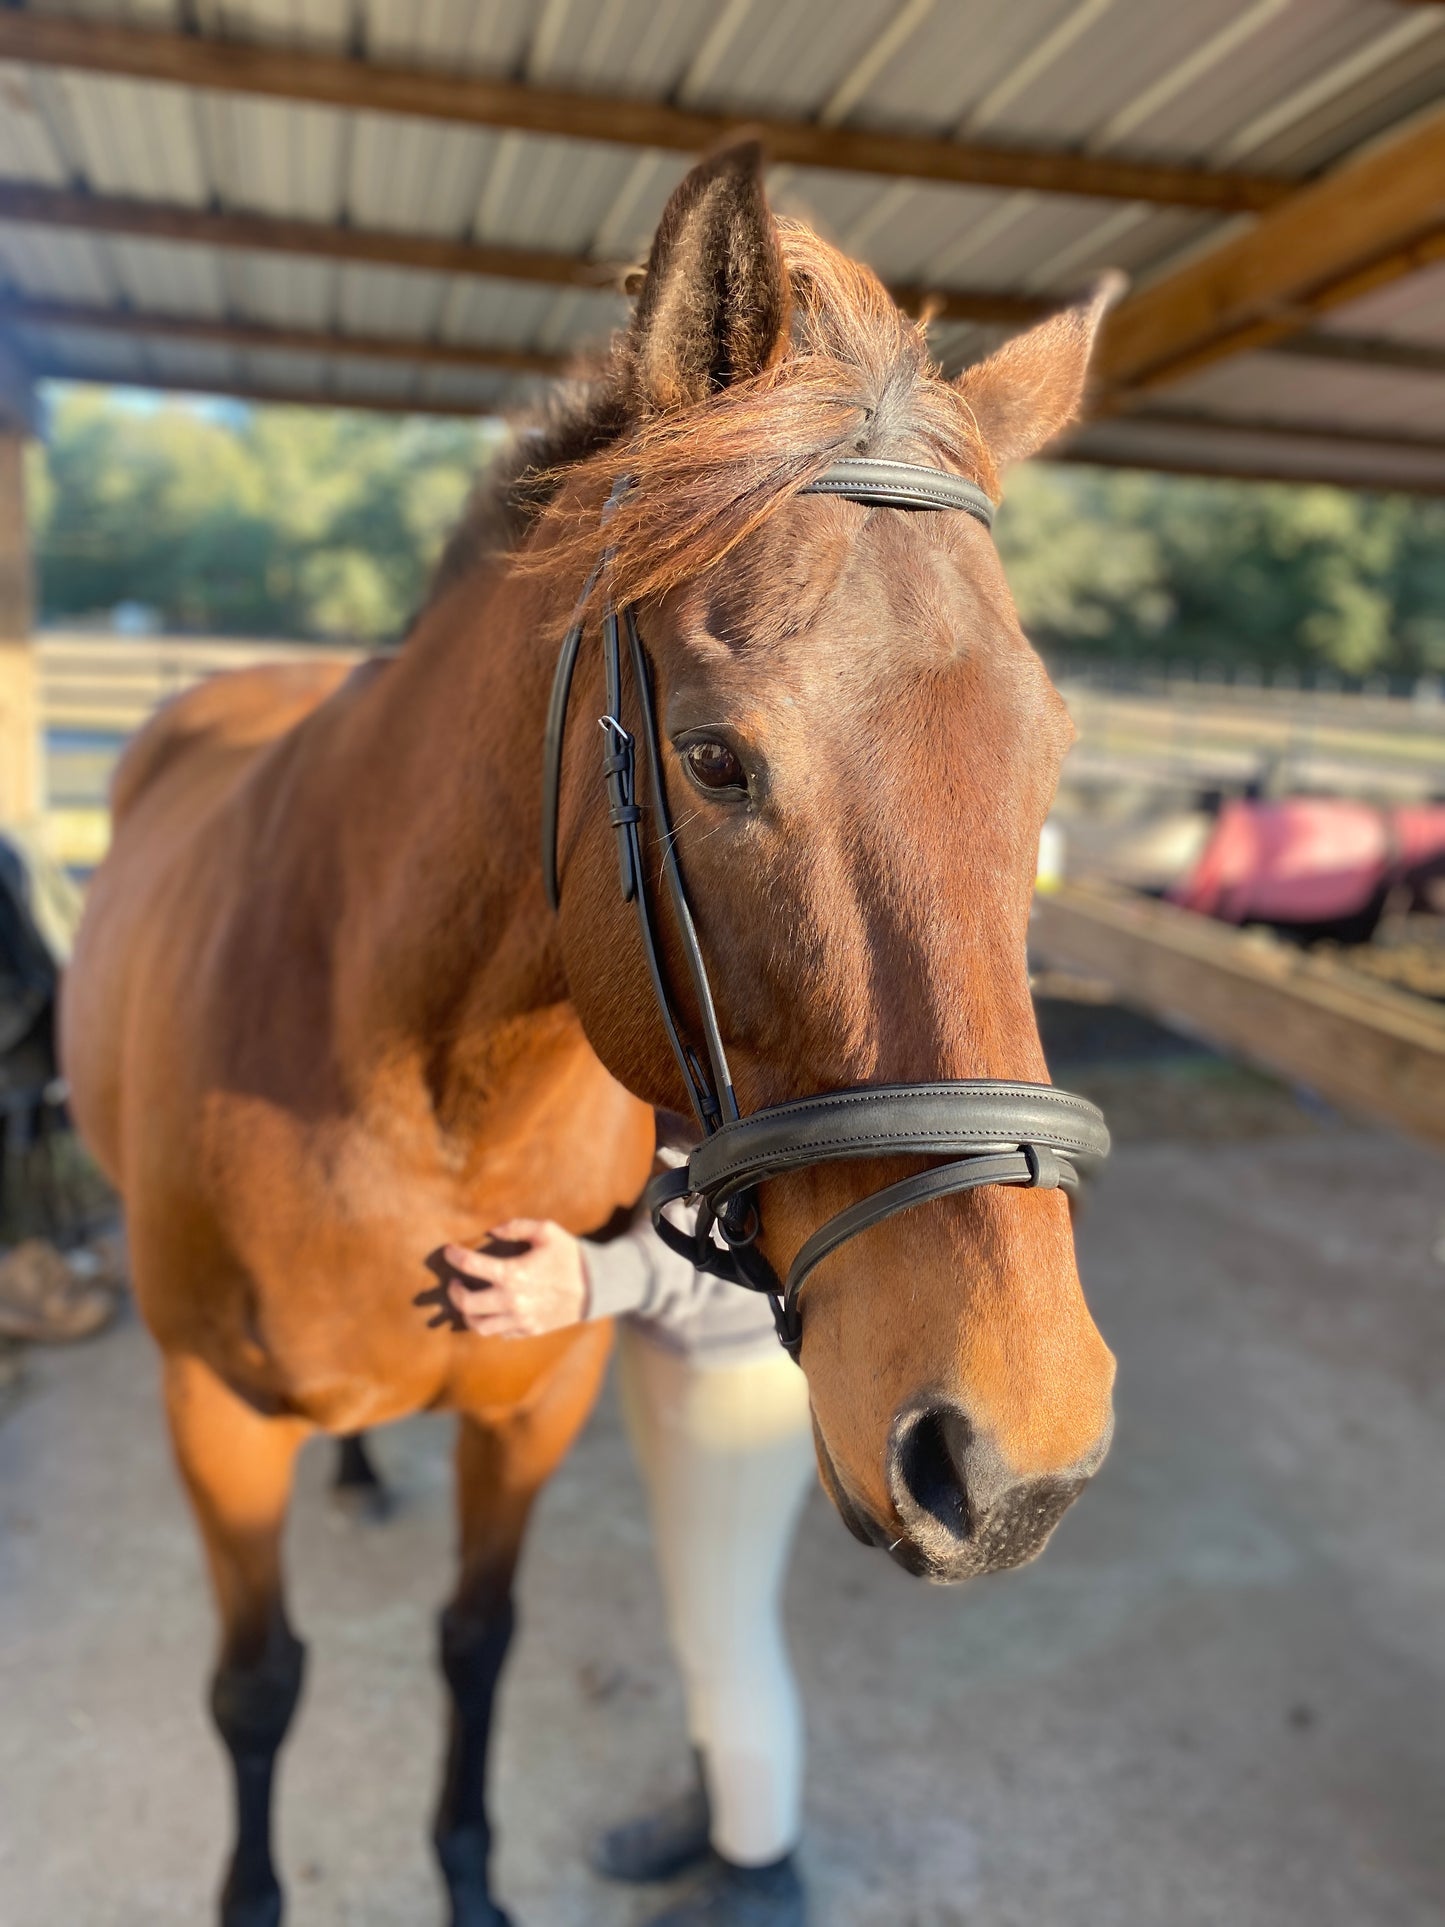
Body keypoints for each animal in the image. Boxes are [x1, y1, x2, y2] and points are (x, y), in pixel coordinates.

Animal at [59, 139, 1117, 1927]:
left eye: (1044, 755)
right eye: (714, 758)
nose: (1017, 1452)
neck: (416, 1070)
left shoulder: (531, 1406)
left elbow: (477, 1643)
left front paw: (472, 1875)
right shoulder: (213, 1413)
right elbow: (258, 1685)